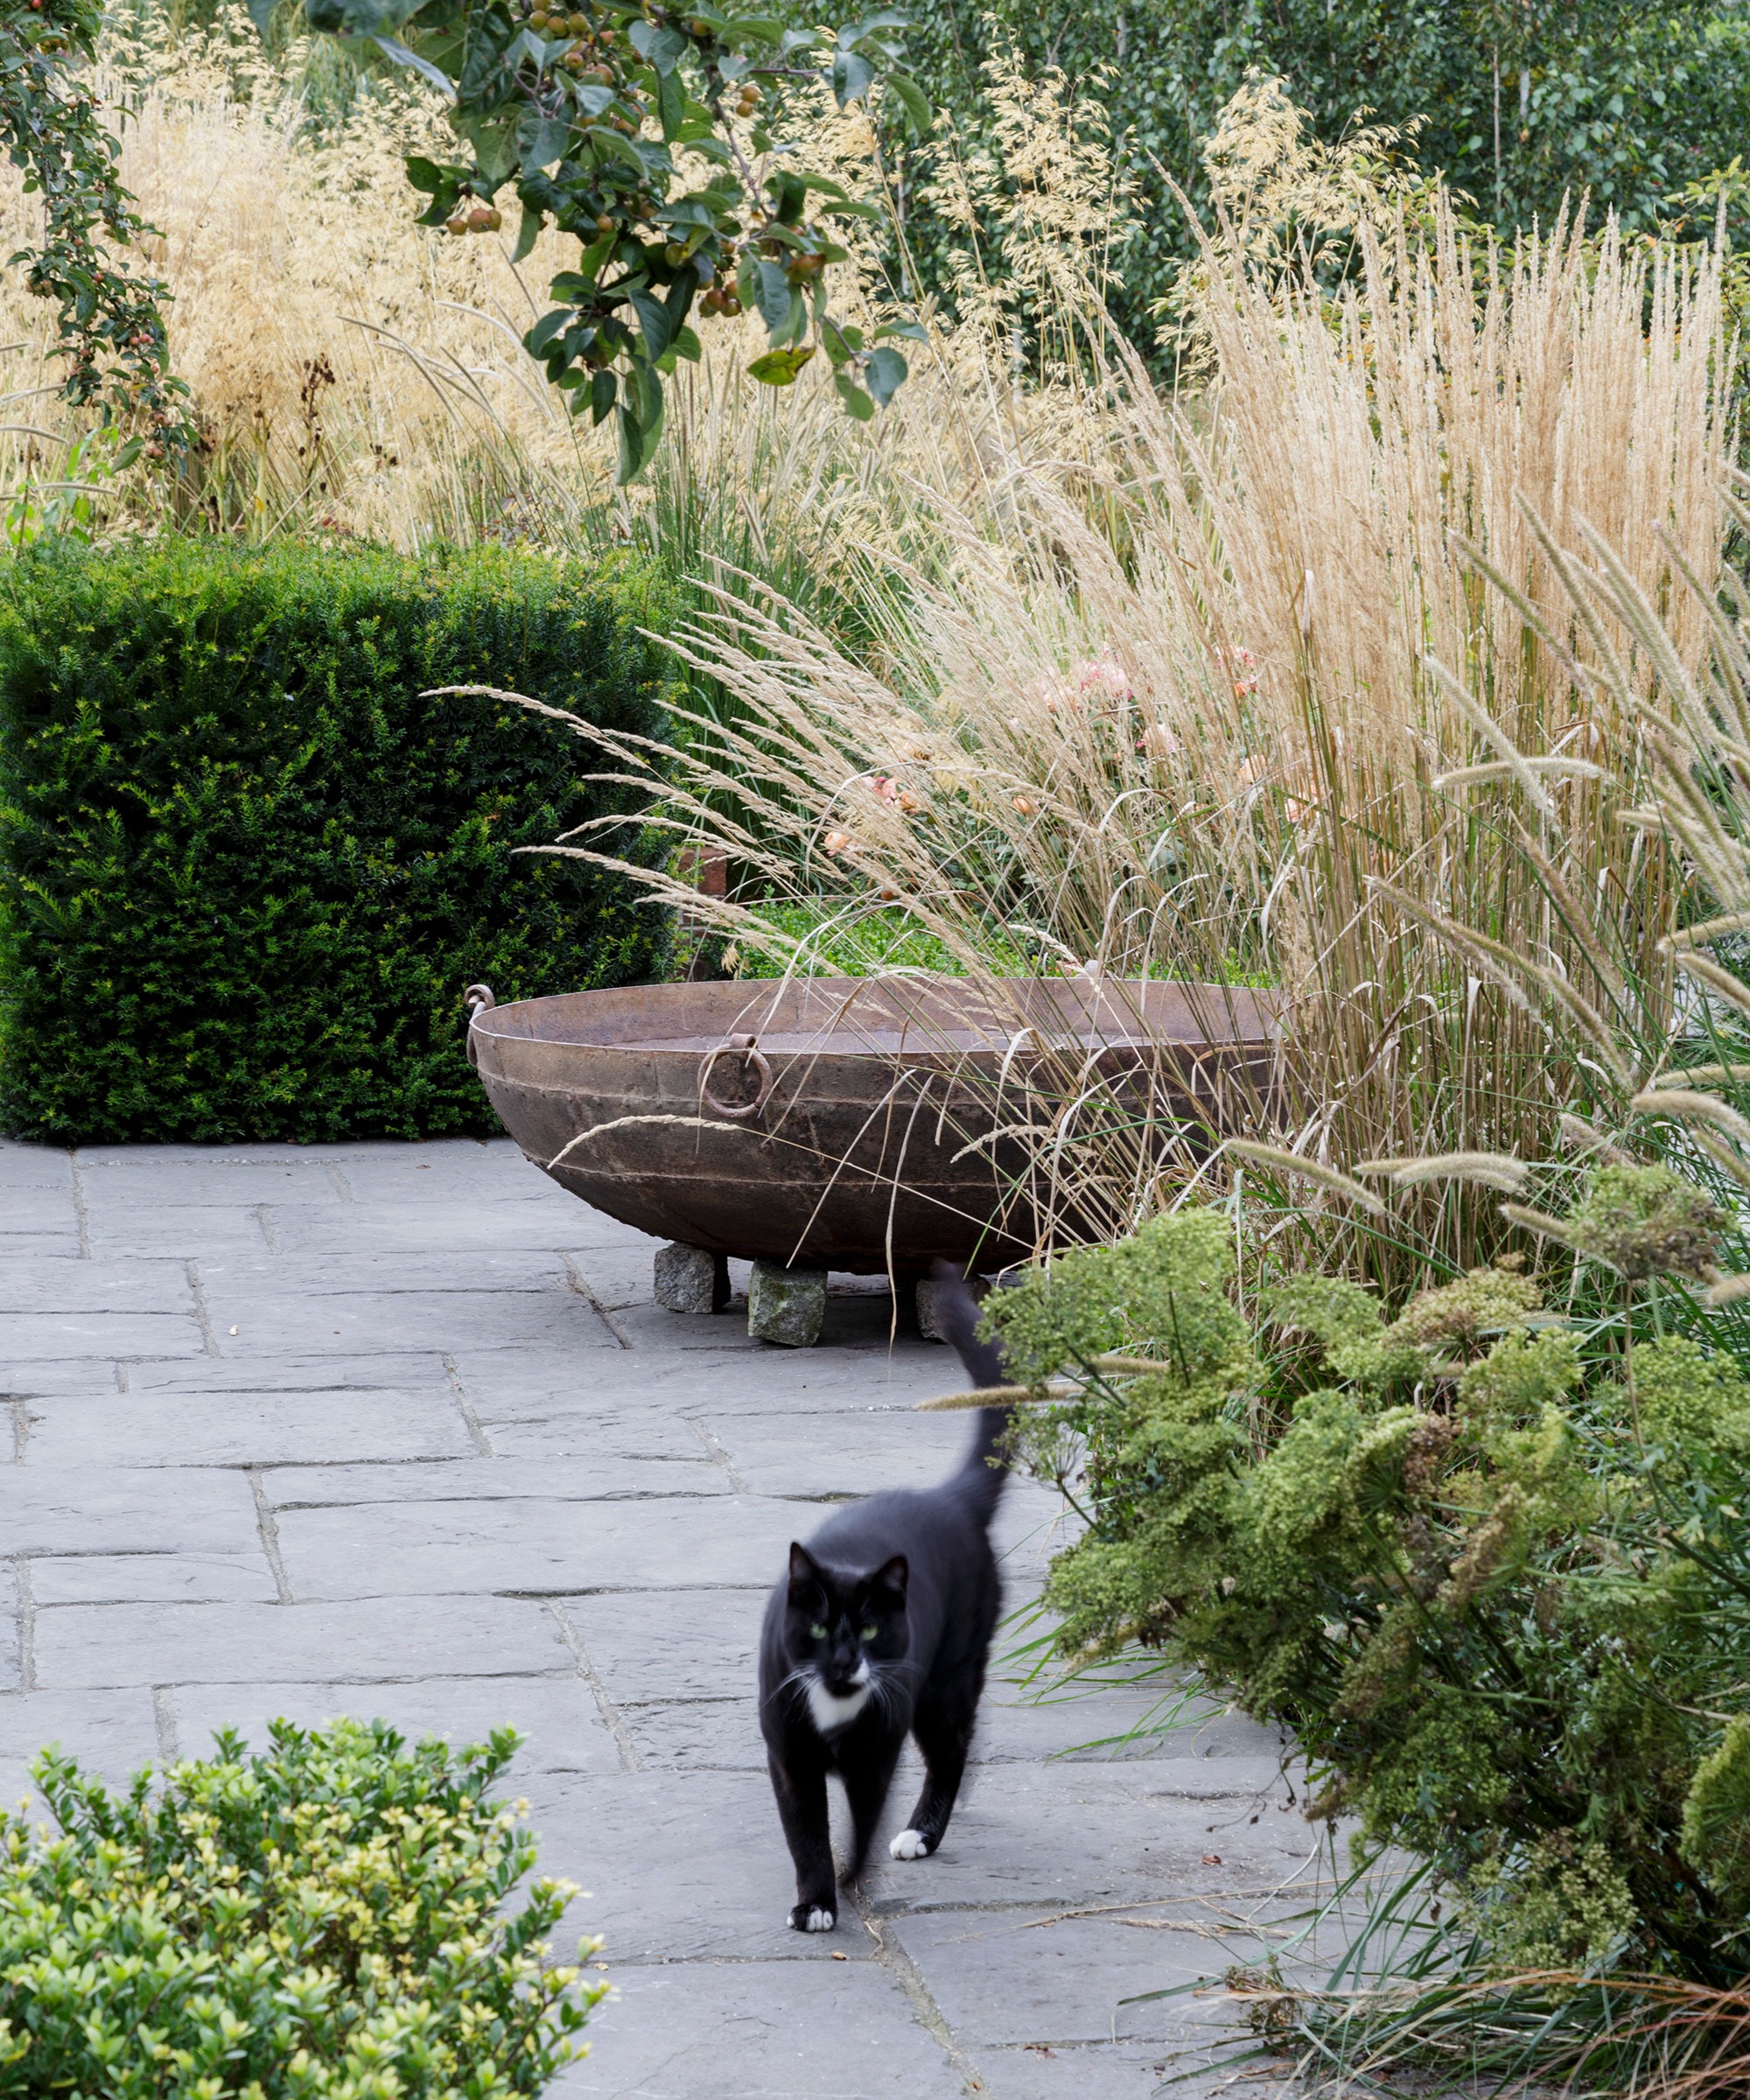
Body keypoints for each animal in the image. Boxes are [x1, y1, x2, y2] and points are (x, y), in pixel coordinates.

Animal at [756, 1260, 1008, 1932]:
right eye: (819, 1630)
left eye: (869, 1630)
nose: (846, 1663)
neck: (835, 1705)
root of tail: (951, 1497)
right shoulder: (789, 1756)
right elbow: (806, 1832)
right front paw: (816, 1901)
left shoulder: (877, 1752)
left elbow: (862, 1823)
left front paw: (850, 1882)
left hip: (947, 1678)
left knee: (952, 1748)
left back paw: (922, 1833)